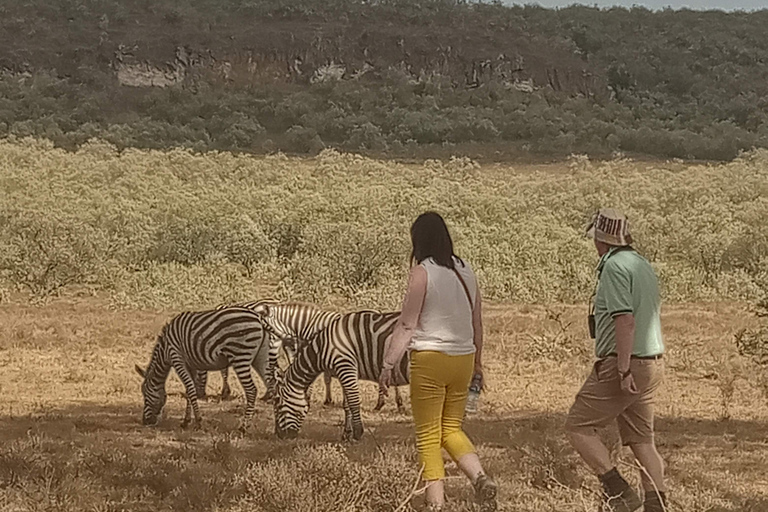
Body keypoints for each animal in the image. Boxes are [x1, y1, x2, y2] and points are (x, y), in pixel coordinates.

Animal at [134, 306, 270, 430]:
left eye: (145, 394)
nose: (145, 422)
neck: (165, 350)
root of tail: (259, 318)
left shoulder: (177, 358)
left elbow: (190, 390)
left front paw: (198, 422)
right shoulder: (190, 365)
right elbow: (189, 390)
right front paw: (186, 421)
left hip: (240, 357)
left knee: (251, 390)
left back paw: (243, 427)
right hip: (260, 358)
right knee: (272, 386)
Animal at [254, 300, 408, 412]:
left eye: (267, 329)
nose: (270, 354)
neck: (310, 325)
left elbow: (321, 377)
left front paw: (313, 398)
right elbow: (328, 378)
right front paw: (331, 400)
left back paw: (381, 404)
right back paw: (394, 404)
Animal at [272, 310, 412, 442]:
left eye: (279, 405)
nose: (280, 435)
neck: (322, 348)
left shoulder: (345, 365)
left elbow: (354, 401)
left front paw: (357, 433)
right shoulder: (343, 371)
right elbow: (347, 404)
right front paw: (346, 434)